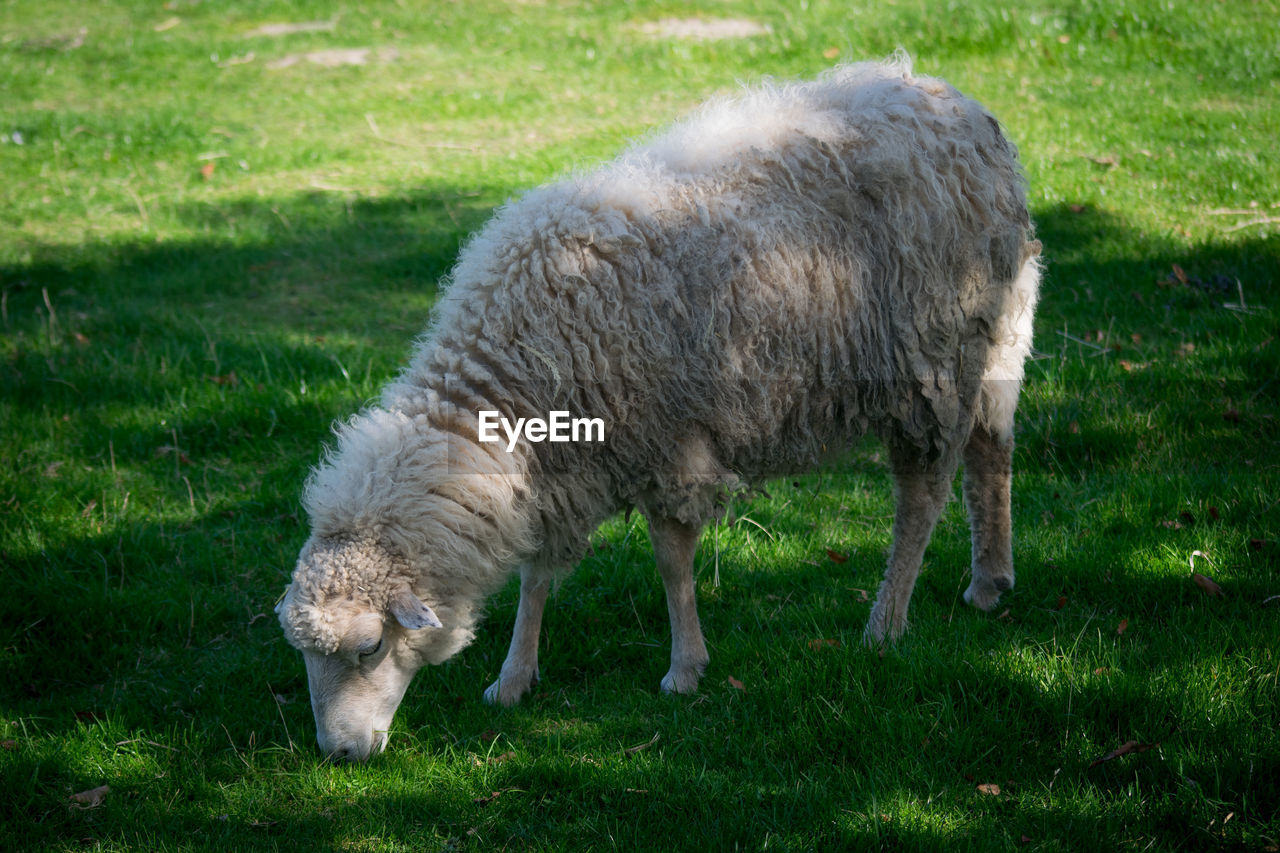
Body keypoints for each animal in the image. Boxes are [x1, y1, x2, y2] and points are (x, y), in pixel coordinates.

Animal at [277, 54, 1039, 758]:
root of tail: (956, 106)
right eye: (304, 654)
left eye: (370, 647)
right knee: (992, 448)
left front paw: (685, 668)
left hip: (932, 360)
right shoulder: (562, 465)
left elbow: (672, 563)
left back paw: (885, 622)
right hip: (994, 340)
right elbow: (535, 576)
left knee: (923, 495)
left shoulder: (672, 443)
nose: (339, 754)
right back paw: (990, 581)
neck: (510, 372)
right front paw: (514, 677)